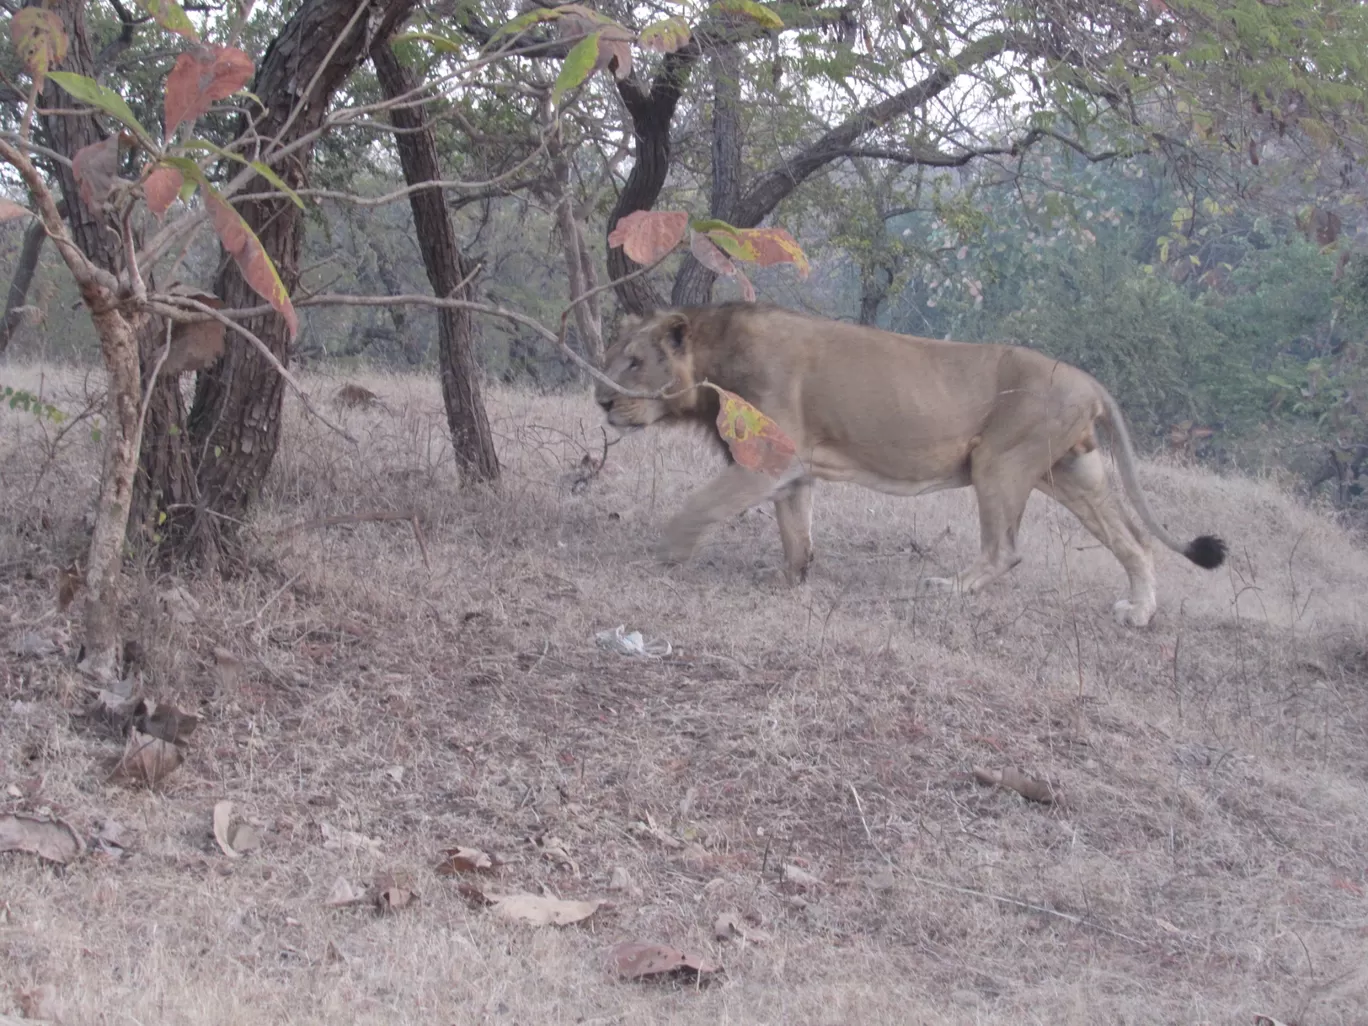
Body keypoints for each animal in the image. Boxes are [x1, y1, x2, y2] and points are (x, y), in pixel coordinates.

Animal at [599, 299, 1231, 626]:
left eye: (634, 362)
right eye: (612, 356)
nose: (601, 399)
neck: (713, 354)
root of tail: (1091, 380)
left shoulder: (768, 457)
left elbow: (700, 506)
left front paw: (664, 554)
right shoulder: (793, 467)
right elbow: (796, 531)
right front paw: (790, 578)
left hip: (1000, 461)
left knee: (1006, 549)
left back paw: (947, 589)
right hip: (1076, 473)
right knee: (1136, 543)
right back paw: (1138, 612)